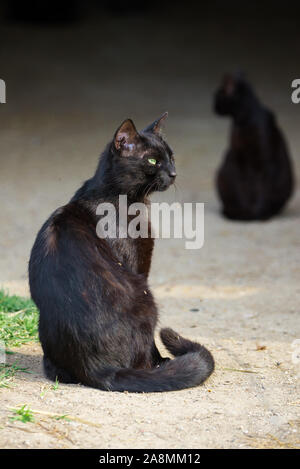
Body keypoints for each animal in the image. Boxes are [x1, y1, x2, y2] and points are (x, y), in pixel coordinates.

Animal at [29, 113, 214, 392]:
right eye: (152, 160)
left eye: (171, 156)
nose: (173, 173)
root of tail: (98, 369)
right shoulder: (138, 266)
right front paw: (161, 360)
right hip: (146, 297)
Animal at [213, 72, 292, 219]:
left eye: (218, 96)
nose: (213, 106)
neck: (244, 119)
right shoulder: (239, 158)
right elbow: (242, 187)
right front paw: (247, 212)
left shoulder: (265, 161)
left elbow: (262, 189)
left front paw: (258, 213)